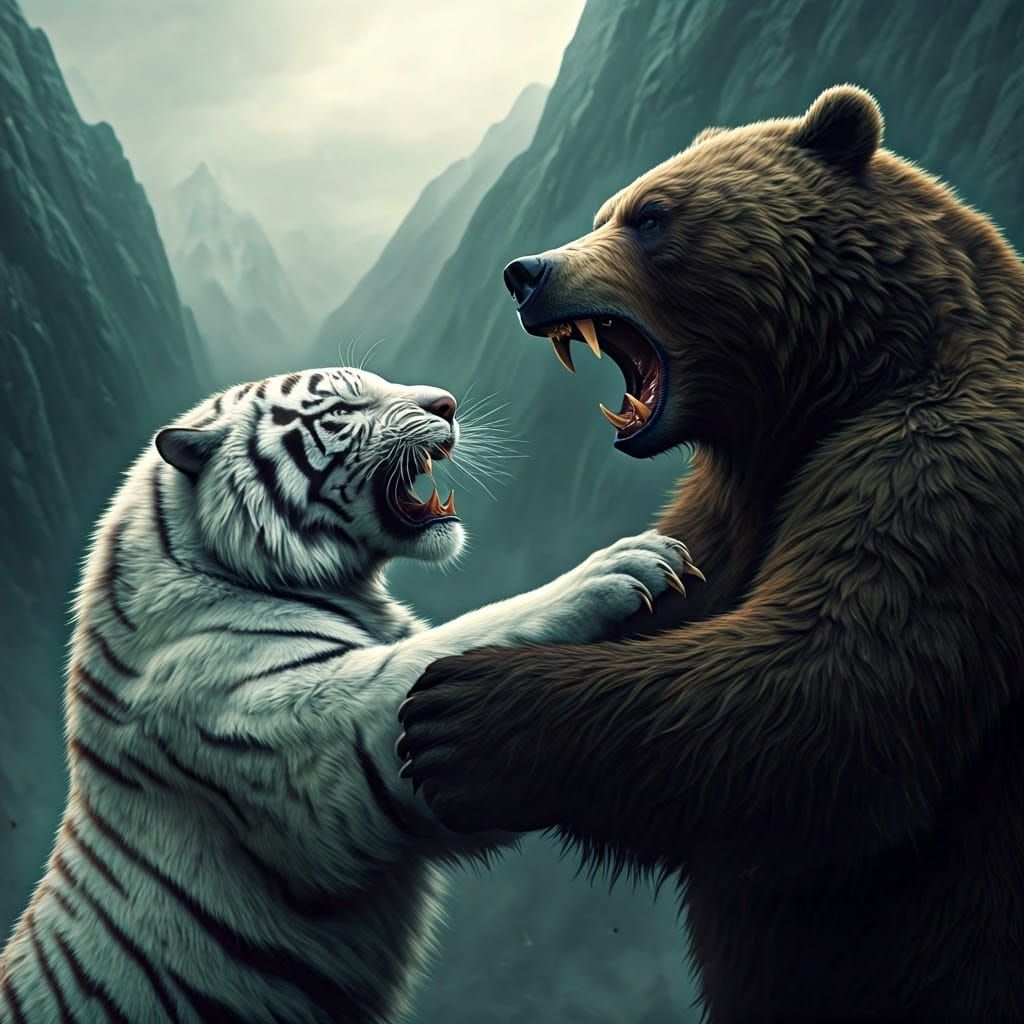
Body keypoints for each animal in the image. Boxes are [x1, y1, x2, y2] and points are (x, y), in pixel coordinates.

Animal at [396, 85, 1024, 1023]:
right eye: (607, 211)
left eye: (652, 216)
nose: (526, 273)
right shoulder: (735, 501)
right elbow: (682, 597)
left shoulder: (943, 468)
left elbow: (830, 687)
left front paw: (457, 718)